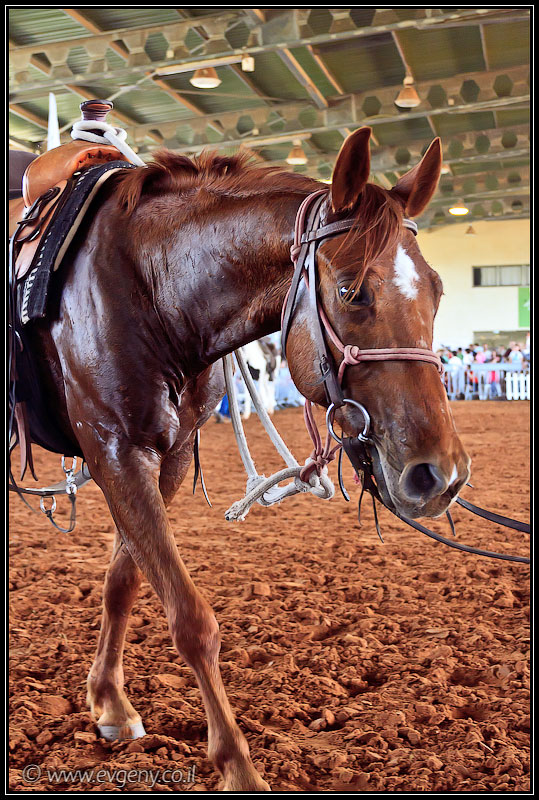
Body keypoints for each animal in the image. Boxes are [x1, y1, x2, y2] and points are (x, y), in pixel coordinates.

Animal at [9, 127, 470, 791]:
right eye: (352, 290)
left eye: (436, 289)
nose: (442, 475)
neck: (146, 281)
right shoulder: (114, 450)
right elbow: (190, 619)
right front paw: (236, 762)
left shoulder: (168, 456)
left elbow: (124, 581)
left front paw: (111, 704)